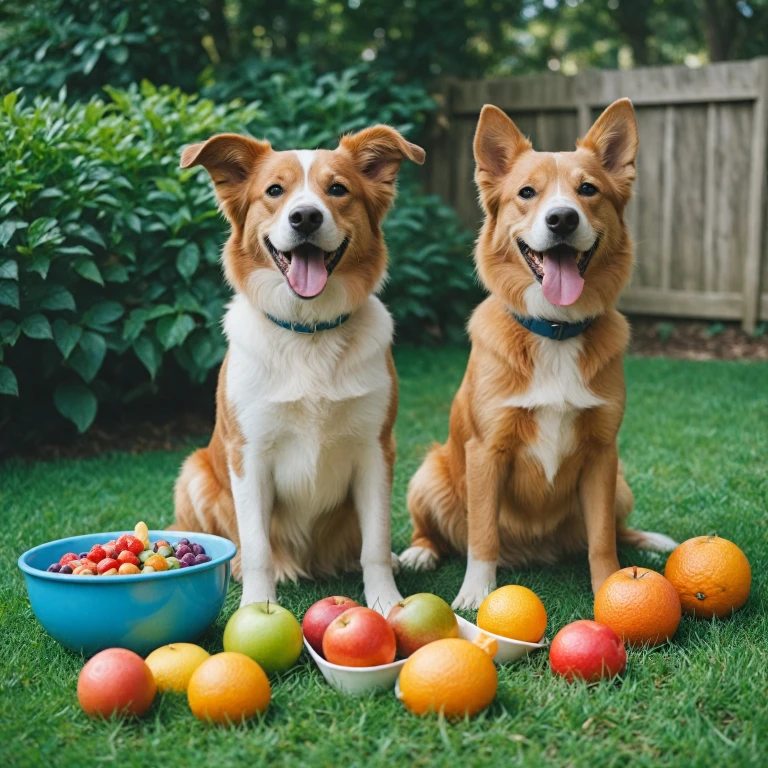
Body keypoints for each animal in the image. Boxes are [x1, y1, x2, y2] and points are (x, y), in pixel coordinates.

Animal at [175, 129, 426, 616]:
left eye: (338, 189)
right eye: (275, 190)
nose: (306, 217)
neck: (309, 332)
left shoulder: (376, 449)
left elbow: (374, 542)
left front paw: (386, 601)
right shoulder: (248, 454)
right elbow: (256, 546)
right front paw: (257, 605)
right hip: (192, 472)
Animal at [404, 99, 676, 608]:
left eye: (588, 189)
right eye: (526, 193)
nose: (562, 219)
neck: (556, 331)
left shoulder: (603, 454)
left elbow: (602, 539)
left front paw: (610, 585)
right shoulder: (486, 452)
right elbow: (483, 536)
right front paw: (475, 594)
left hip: (621, 485)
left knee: (616, 529)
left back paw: (649, 542)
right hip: (427, 475)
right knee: (435, 531)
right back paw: (419, 552)